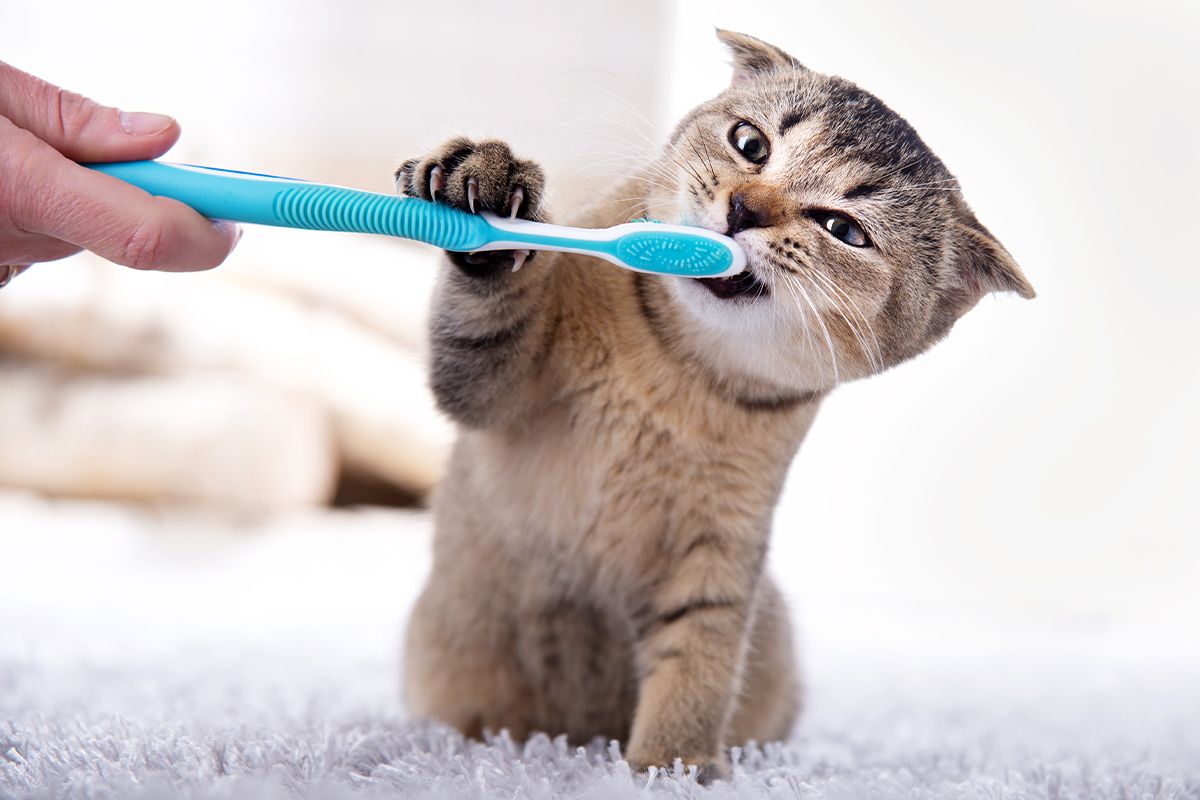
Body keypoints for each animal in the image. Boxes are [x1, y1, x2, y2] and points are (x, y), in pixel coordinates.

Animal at [396, 29, 1032, 782]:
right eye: (749, 143)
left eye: (844, 230)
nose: (744, 208)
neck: (679, 369)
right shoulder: (487, 392)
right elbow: (484, 322)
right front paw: (489, 196)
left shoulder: (721, 545)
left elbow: (699, 660)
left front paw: (671, 768)